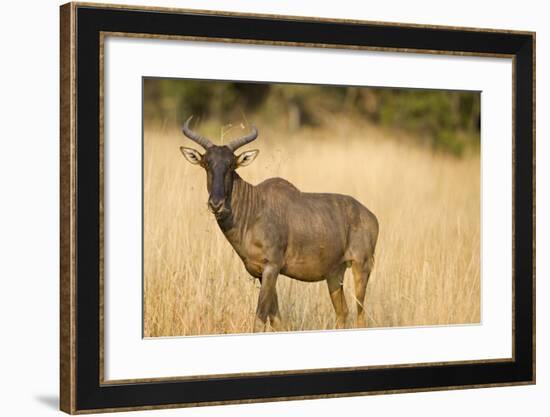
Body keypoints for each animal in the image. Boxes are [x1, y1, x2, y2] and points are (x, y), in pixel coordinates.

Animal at [181, 116, 380, 332]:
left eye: (231, 165)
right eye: (206, 163)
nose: (216, 204)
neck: (255, 206)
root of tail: (371, 217)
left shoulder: (272, 267)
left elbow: (260, 318)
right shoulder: (261, 272)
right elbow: (276, 319)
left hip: (362, 266)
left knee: (360, 314)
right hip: (335, 273)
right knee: (342, 312)